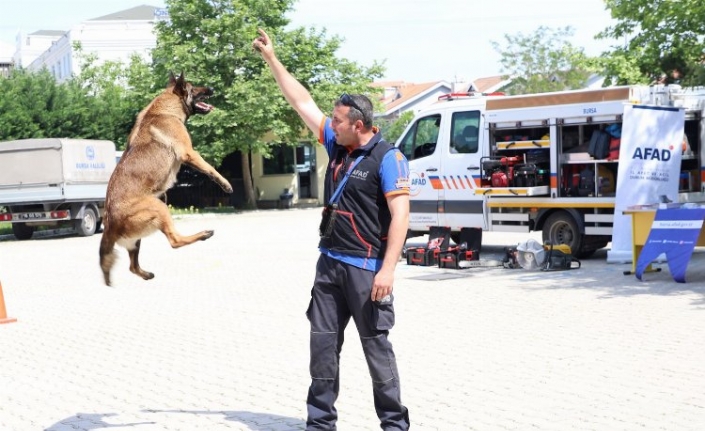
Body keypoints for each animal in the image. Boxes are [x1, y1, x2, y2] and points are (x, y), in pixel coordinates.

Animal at [99, 71, 234, 286]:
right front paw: (225, 184)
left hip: (138, 237)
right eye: (193, 88)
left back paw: (146, 274)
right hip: (160, 208)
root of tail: (109, 223)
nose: (212, 88)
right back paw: (203, 234)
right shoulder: (189, 153)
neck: (164, 110)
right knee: (175, 241)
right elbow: (210, 168)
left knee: (133, 267)